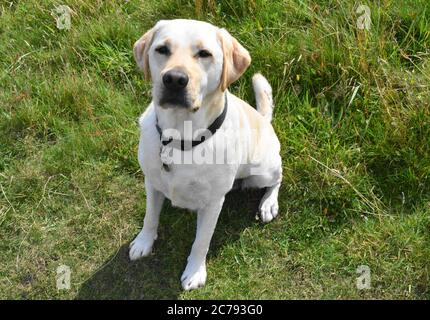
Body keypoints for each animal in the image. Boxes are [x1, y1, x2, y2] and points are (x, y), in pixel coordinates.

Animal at [128, 19, 282, 290]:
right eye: (162, 49)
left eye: (204, 54)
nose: (174, 79)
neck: (180, 138)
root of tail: (263, 118)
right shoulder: (151, 182)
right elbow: (150, 217)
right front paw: (143, 242)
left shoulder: (213, 203)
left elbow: (201, 241)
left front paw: (195, 272)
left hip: (262, 170)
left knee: (278, 177)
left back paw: (268, 204)